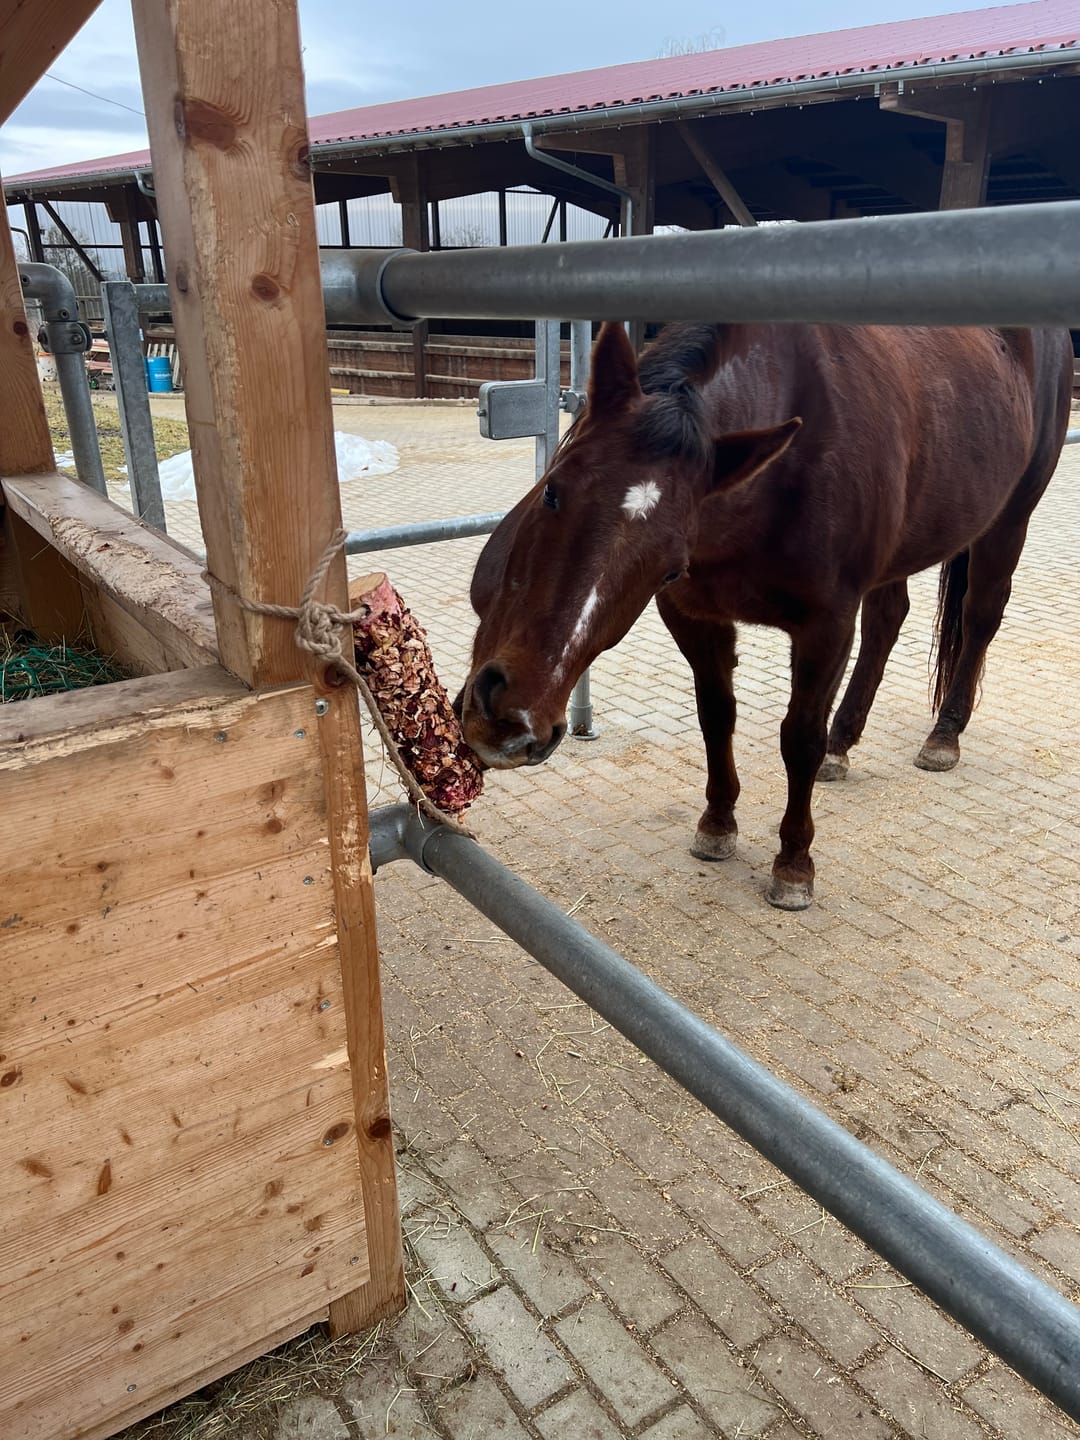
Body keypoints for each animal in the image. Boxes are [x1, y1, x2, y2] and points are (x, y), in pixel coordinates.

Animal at [456, 320, 1072, 909]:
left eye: (667, 566)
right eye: (553, 492)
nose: (513, 718)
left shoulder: (825, 627)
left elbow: (799, 739)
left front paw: (794, 865)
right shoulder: (695, 616)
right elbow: (716, 716)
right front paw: (717, 824)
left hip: (1010, 520)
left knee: (980, 616)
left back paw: (944, 735)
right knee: (888, 619)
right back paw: (845, 741)